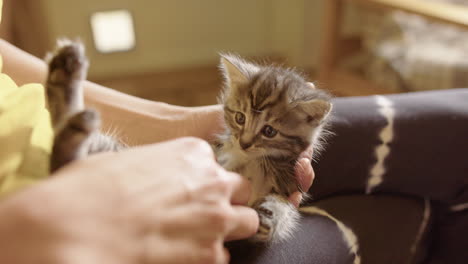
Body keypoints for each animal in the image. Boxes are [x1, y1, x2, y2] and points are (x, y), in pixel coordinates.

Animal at [216, 54, 332, 242]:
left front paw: (271, 214)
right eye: (240, 118)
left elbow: (283, 205)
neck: (256, 161)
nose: (243, 144)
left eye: (269, 131)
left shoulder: (290, 185)